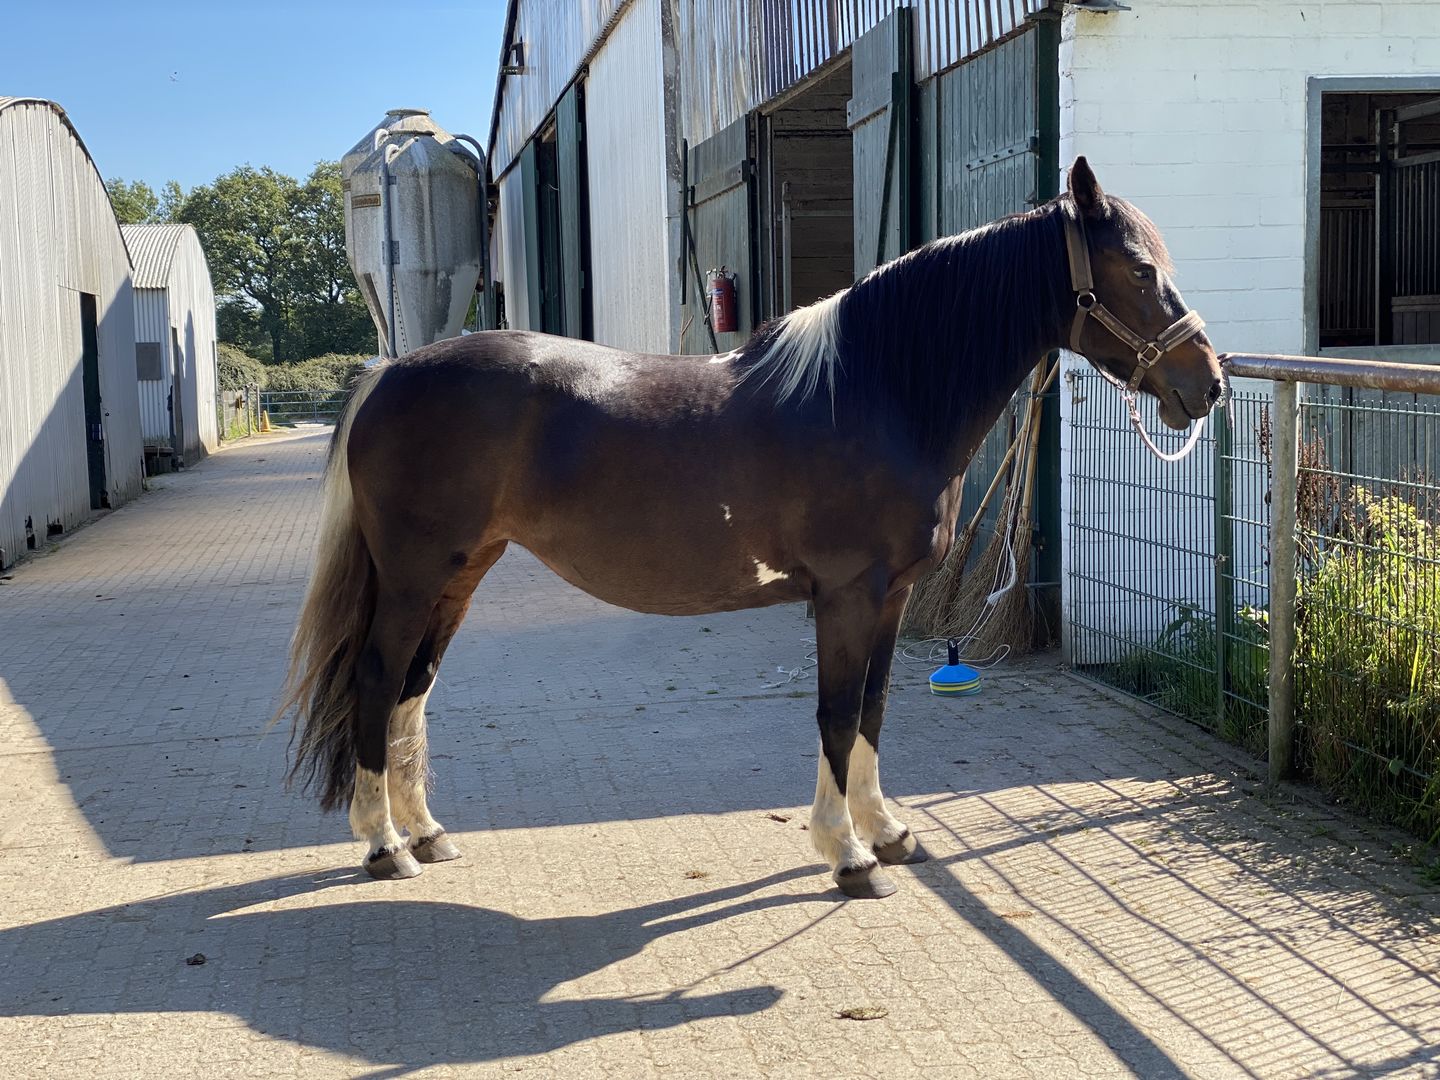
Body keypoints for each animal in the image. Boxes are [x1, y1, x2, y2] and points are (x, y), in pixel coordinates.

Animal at [278, 157, 1224, 899]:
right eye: (1139, 271)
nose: (1208, 382)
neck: (880, 391)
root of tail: (391, 372)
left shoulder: (892, 599)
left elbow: (874, 707)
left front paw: (888, 832)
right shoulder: (846, 595)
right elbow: (837, 713)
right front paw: (847, 856)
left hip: (460, 572)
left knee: (414, 687)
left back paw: (427, 834)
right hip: (413, 575)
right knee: (377, 681)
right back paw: (383, 846)